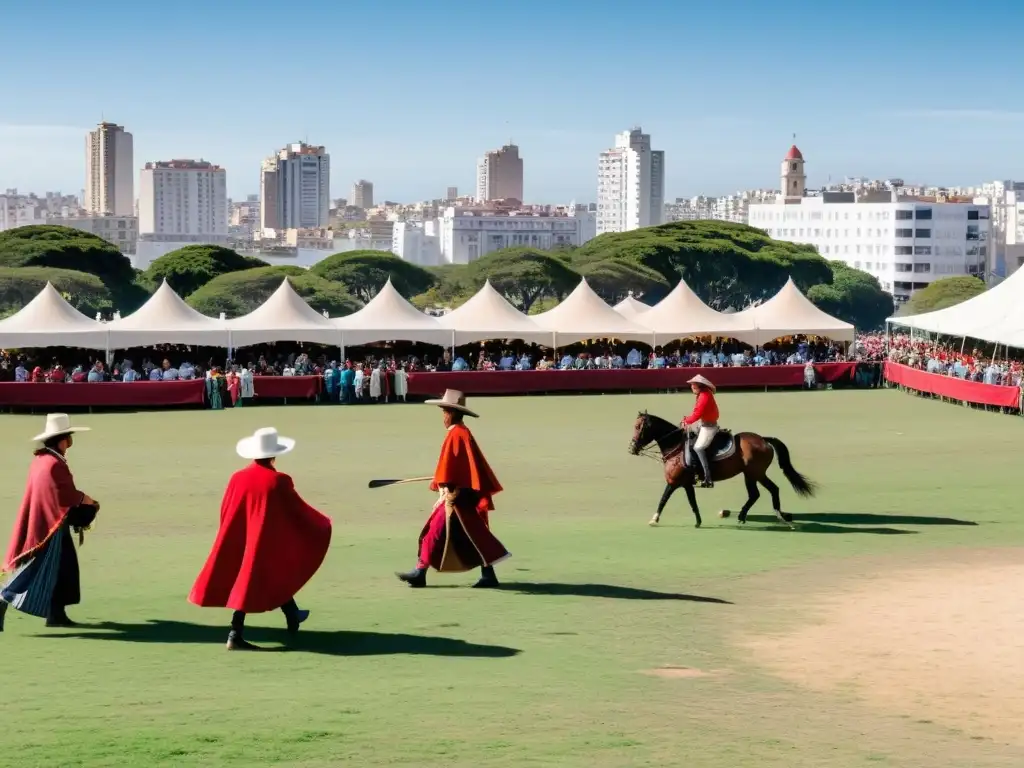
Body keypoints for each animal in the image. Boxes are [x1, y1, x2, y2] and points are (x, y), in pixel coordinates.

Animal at [622, 415, 815, 528]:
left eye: (639, 427)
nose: (632, 448)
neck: (675, 446)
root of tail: (764, 439)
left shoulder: (674, 482)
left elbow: (663, 499)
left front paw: (654, 519)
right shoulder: (686, 484)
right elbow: (692, 502)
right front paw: (698, 521)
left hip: (754, 473)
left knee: (766, 491)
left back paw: (776, 517)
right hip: (752, 474)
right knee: (760, 493)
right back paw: (749, 516)